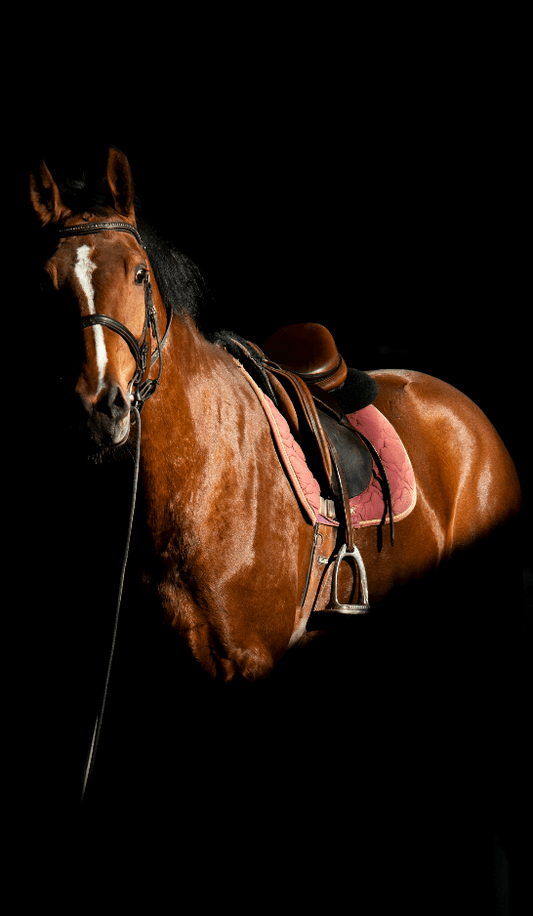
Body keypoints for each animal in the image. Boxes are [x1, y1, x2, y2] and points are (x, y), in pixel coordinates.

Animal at [28, 147, 520, 904]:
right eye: (50, 283)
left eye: (137, 272)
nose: (101, 407)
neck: (205, 477)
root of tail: (472, 418)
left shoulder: (253, 669)